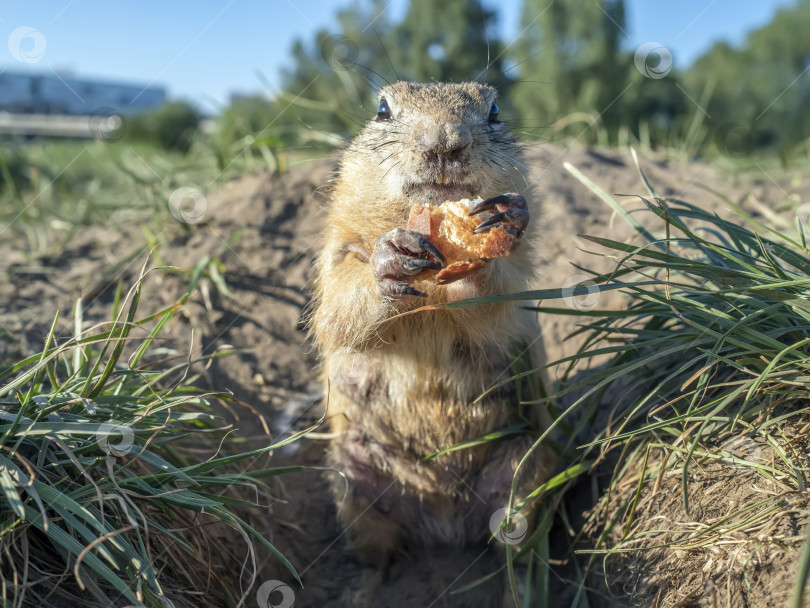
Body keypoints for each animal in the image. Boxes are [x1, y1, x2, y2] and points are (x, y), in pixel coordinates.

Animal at [310, 81, 556, 564]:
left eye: (494, 110)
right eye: (382, 109)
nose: (443, 143)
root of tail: (443, 518)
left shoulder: (519, 270)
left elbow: (500, 295)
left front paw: (502, 219)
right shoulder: (337, 245)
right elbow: (335, 307)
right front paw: (388, 259)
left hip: (525, 462)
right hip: (351, 472)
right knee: (376, 551)